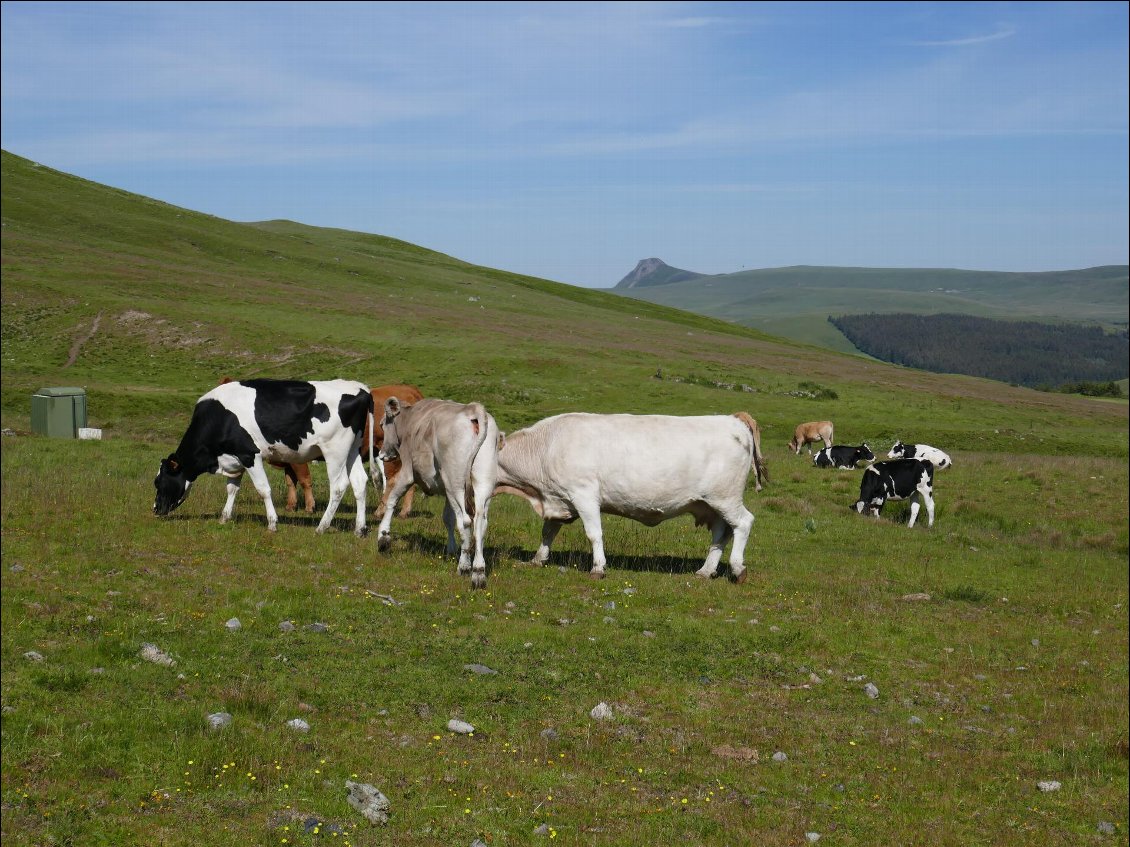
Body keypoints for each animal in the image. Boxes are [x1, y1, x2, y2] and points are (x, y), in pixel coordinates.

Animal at [153, 379, 375, 537]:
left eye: (159, 482)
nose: (155, 510)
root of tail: (361, 388)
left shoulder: (250, 454)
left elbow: (263, 489)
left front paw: (272, 523)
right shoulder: (235, 458)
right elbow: (232, 489)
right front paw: (225, 517)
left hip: (334, 450)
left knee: (338, 486)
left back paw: (322, 526)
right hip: (352, 450)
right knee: (359, 482)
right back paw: (359, 529)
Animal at [375, 399, 499, 591]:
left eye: (382, 424)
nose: (382, 455)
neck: (410, 419)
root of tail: (473, 409)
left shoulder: (408, 472)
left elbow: (392, 500)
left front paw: (383, 537)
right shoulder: (446, 492)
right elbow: (448, 518)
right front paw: (451, 549)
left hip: (455, 483)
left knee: (465, 521)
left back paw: (464, 567)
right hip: (481, 485)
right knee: (480, 523)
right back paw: (478, 572)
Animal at [490, 415, 763, 587]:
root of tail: (734, 419)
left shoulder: (584, 494)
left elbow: (594, 534)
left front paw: (598, 568)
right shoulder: (559, 499)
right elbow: (548, 532)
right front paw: (538, 559)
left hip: (725, 497)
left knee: (744, 522)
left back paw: (738, 569)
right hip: (711, 504)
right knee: (721, 533)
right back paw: (706, 571)